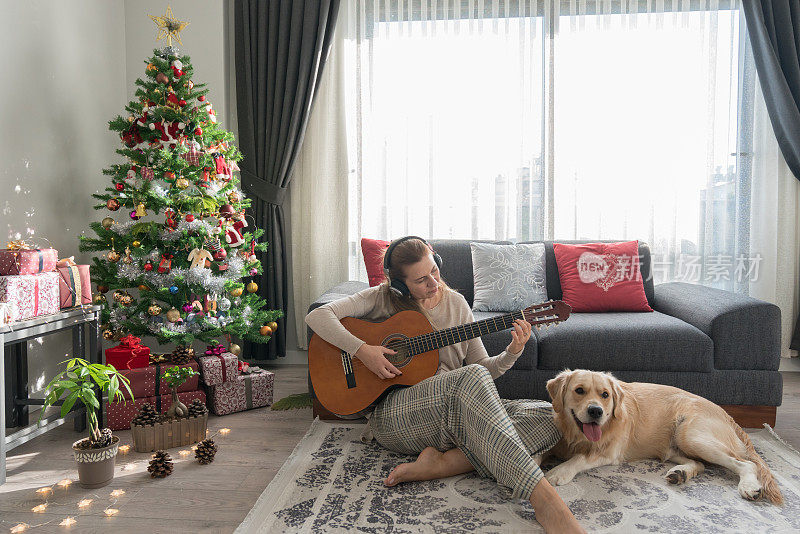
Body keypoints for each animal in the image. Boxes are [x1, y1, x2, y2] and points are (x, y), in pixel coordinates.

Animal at [544, 368, 780, 506]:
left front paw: (559, 472)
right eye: (579, 390)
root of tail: (727, 415)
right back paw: (680, 473)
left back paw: (748, 487)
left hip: (690, 435)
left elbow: (580, 457)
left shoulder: (609, 452)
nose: (596, 411)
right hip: (676, 446)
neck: (576, 434)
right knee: (700, 464)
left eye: (605, 395)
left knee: (747, 463)